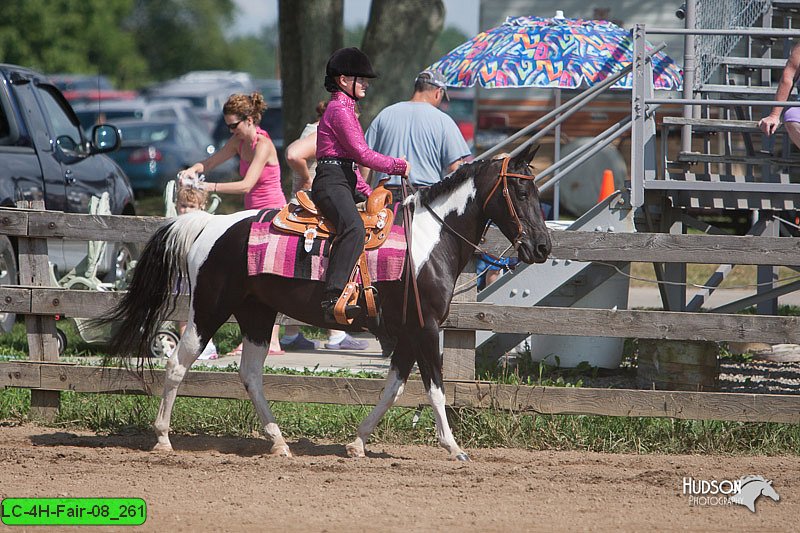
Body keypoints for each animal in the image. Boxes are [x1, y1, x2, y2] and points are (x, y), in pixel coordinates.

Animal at [104, 143, 552, 460]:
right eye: (521, 189)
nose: (543, 247)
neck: (429, 240)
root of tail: (208, 225)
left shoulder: (408, 333)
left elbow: (393, 388)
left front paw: (357, 443)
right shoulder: (425, 329)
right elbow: (436, 389)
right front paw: (454, 448)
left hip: (256, 315)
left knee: (250, 374)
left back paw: (279, 442)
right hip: (209, 310)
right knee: (178, 365)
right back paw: (163, 439)